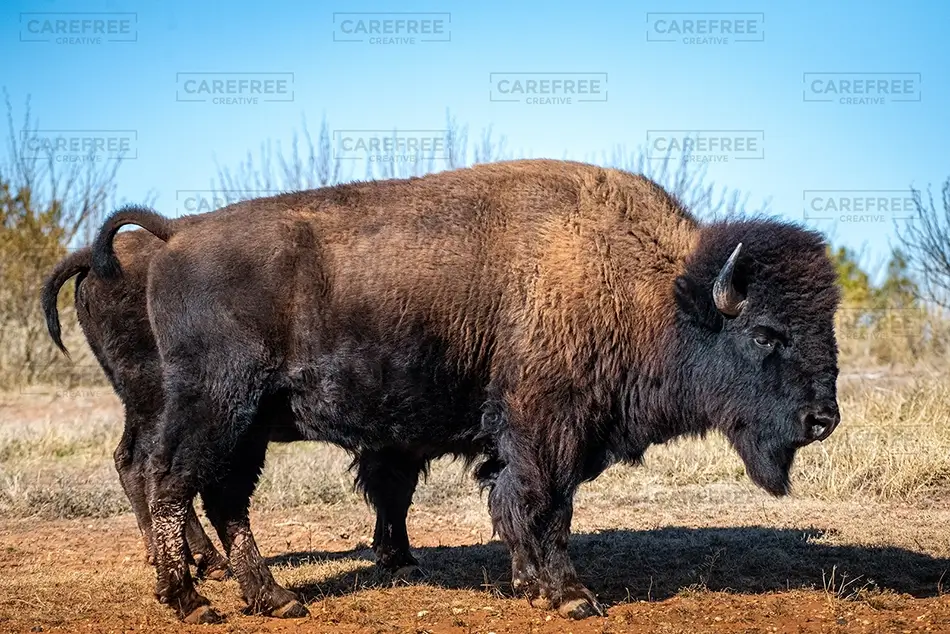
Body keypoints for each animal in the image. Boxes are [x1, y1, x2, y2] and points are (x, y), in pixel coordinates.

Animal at [89, 159, 841, 622]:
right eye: (766, 334)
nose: (823, 419)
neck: (656, 292)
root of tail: (178, 235)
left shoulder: (534, 436)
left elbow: (524, 507)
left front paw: (533, 587)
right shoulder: (547, 430)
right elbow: (542, 506)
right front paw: (570, 596)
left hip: (246, 425)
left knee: (224, 499)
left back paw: (275, 599)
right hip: (214, 407)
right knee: (168, 482)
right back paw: (192, 599)